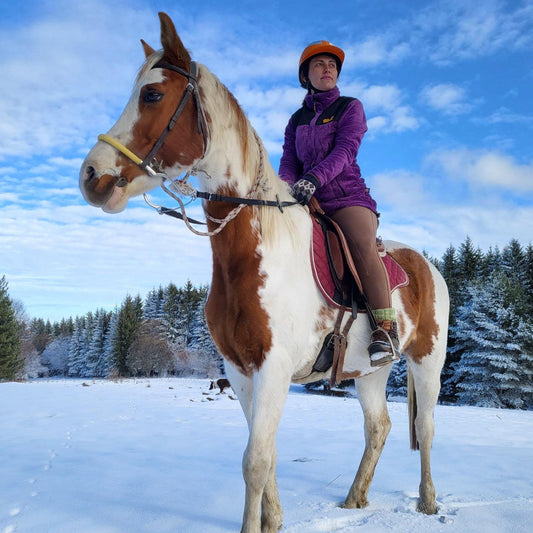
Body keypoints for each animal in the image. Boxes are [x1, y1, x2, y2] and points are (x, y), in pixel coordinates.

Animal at [79, 12, 448, 532]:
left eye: (151, 94)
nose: (91, 176)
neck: (256, 253)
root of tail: (426, 265)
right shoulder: (240, 371)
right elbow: (266, 455)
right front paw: (273, 520)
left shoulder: (273, 368)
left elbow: (254, 461)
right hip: (370, 371)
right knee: (380, 426)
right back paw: (354, 499)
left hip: (427, 362)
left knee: (426, 427)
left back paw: (428, 502)